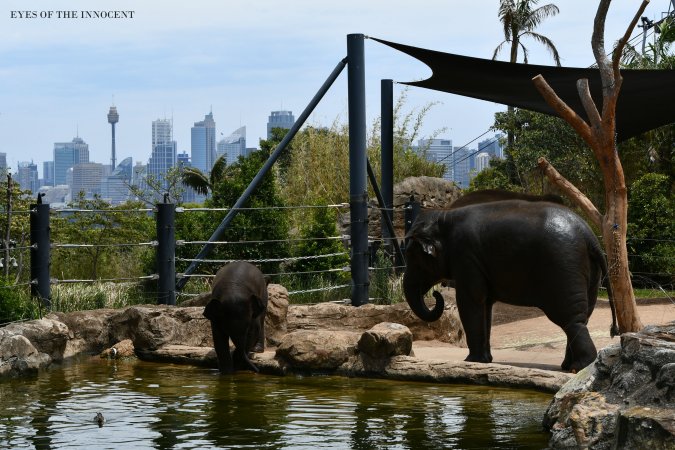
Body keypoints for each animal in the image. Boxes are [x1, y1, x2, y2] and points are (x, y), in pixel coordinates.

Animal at [404, 199, 620, 370]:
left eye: (413, 257)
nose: (436, 294)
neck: (445, 216)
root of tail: (590, 236)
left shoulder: (466, 256)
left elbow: (471, 299)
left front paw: (471, 361)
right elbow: (486, 305)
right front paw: (484, 361)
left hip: (563, 267)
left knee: (570, 318)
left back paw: (579, 367)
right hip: (589, 274)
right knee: (581, 318)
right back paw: (569, 366)